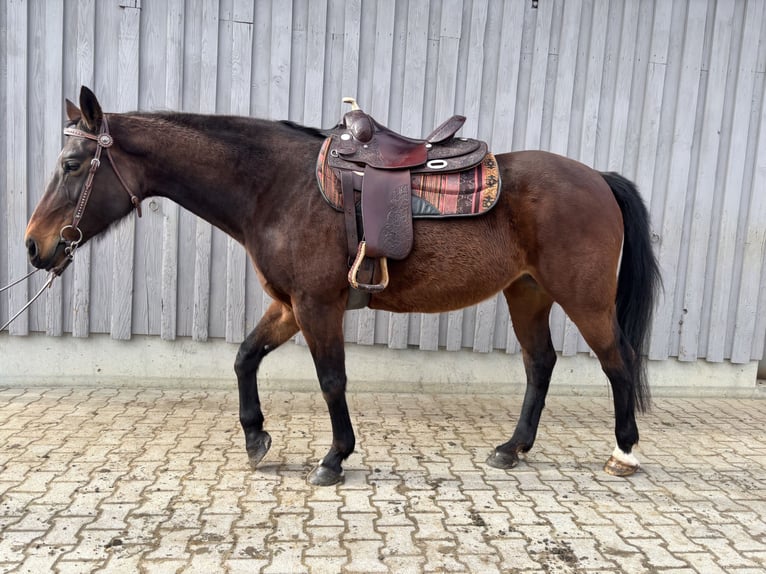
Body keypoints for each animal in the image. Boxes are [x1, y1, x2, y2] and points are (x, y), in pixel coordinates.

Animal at [24, 86, 660, 486]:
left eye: (73, 164)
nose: (33, 246)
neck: (277, 187)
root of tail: (597, 178)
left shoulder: (317, 305)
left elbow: (331, 380)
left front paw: (333, 457)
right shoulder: (287, 305)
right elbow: (244, 357)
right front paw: (256, 438)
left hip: (583, 299)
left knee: (618, 361)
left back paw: (624, 453)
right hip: (526, 292)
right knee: (540, 363)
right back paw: (513, 448)